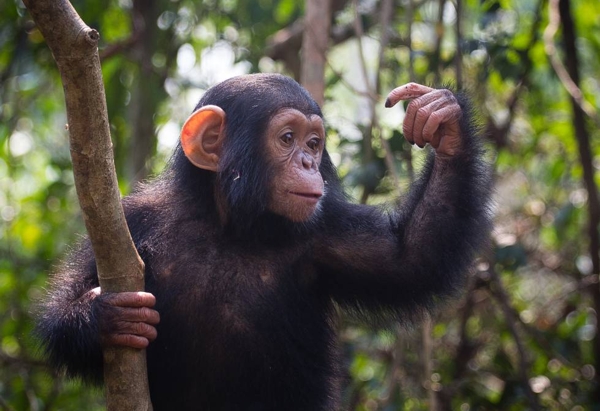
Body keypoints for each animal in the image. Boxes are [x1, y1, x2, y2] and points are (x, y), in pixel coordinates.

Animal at [36, 72, 492, 410]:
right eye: (287, 138)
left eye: (314, 143)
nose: (308, 163)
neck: (228, 226)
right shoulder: (130, 223)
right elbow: (65, 303)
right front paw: (105, 314)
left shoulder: (326, 232)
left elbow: (410, 257)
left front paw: (445, 123)